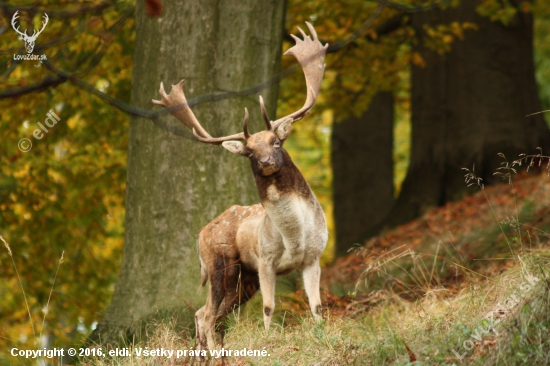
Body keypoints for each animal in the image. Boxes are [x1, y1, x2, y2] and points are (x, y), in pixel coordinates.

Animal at [152, 22, 328, 348]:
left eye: (276, 142)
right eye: (249, 152)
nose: (266, 161)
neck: (294, 235)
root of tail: (201, 233)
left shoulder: (314, 256)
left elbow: (317, 306)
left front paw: (321, 333)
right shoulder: (266, 260)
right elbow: (269, 307)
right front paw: (270, 341)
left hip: (242, 279)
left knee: (206, 312)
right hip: (221, 265)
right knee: (208, 315)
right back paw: (213, 353)